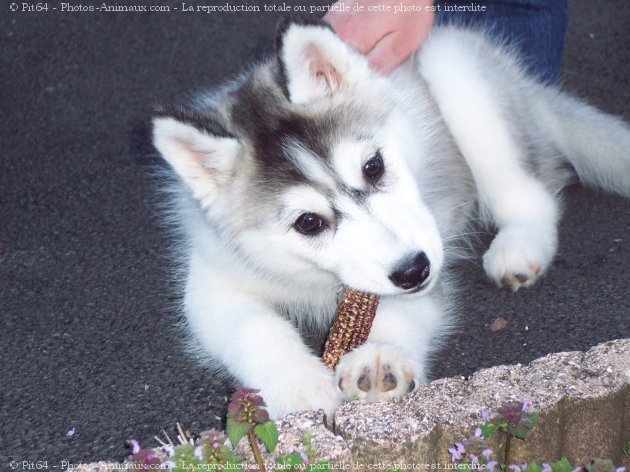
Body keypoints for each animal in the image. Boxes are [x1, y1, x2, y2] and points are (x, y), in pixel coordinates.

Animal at [153, 17, 630, 416]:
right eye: (308, 223)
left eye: (373, 166)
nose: (415, 270)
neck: (316, 280)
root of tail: (529, 88)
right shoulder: (212, 286)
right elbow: (256, 329)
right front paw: (300, 386)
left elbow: (400, 314)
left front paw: (380, 358)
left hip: (456, 69)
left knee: (529, 195)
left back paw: (519, 245)